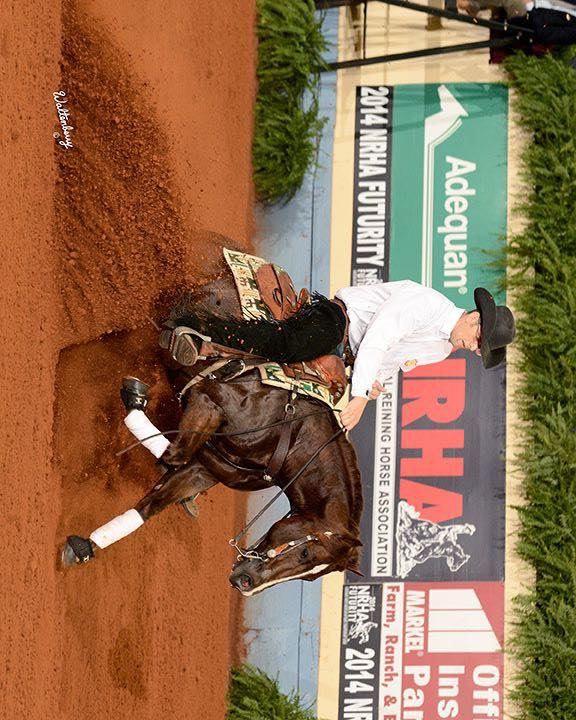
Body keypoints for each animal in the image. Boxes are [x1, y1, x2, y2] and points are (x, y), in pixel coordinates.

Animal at [62, 260, 364, 596]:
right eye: (306, 553)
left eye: (310, 576)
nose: (245, 583)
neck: (293, 439)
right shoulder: (209, 400)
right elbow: (175, 453)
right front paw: (136, 405)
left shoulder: (207, 470)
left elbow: (151, 505)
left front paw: (84, 546)